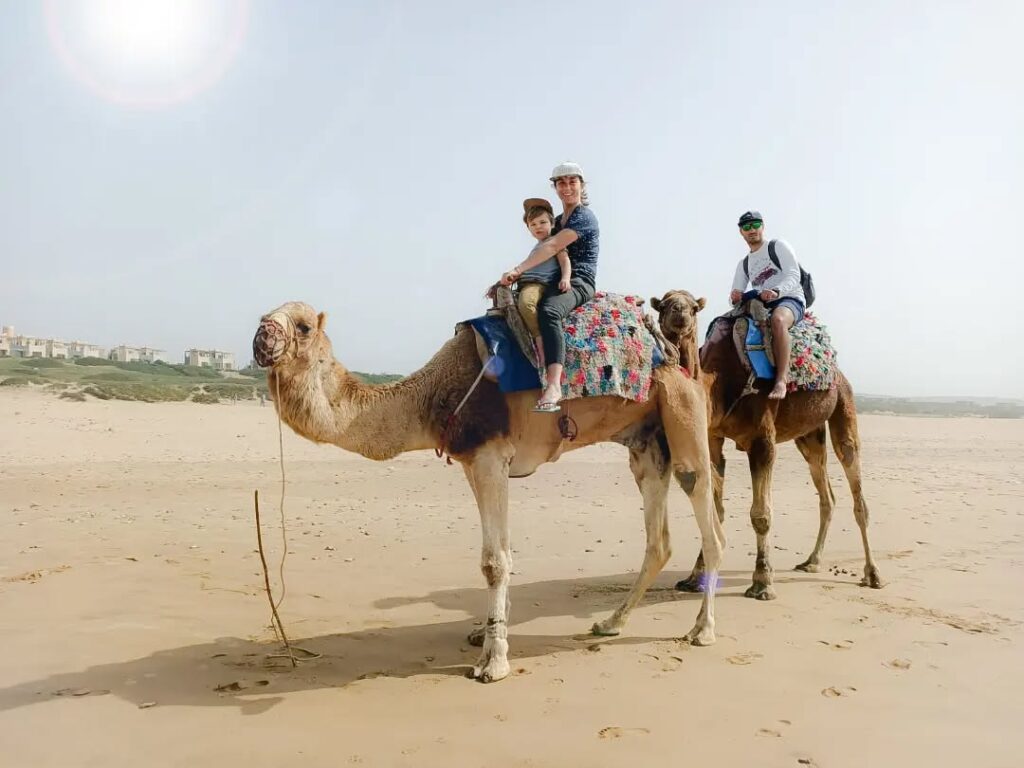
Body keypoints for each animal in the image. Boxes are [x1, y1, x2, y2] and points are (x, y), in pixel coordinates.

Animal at [252, 301, 725, 683]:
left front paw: (493, 662)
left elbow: (495, 561)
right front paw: (485, 633)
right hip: (646, 441)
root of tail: (679, 361)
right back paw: (610, 623)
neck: (432, 395)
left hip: (682, 411)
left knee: (707, 516)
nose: (262, 336)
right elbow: (496, 553)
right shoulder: (473, 462)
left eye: (302, 326)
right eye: (264, 315)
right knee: (658, 538)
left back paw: (702, 631)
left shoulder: (491, 457)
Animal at [649, 290, 882, 601]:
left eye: (693, 307)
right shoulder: (712, 438)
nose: (678, 313)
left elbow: (761, 514)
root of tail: (837, 370)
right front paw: (695, 578)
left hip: (844, 405)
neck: (719, 385)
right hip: (809, 434)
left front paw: (762, 582)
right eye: (663, 305)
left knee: (854, 479)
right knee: (825, 489)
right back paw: (812, 561)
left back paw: (873, 574)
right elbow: (714, 510)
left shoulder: (763, 440)